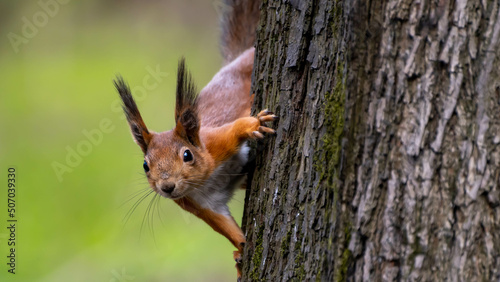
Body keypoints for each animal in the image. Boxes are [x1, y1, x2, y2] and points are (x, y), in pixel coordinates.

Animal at [113, 0, 270, 278]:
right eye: (145, 166)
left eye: (187, 155)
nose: (167, 187)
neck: (203, 182)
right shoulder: (202, 204)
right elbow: (225, 226)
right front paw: (241, 251)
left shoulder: (216, 142)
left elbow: (234, 129)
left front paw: (253, 124)